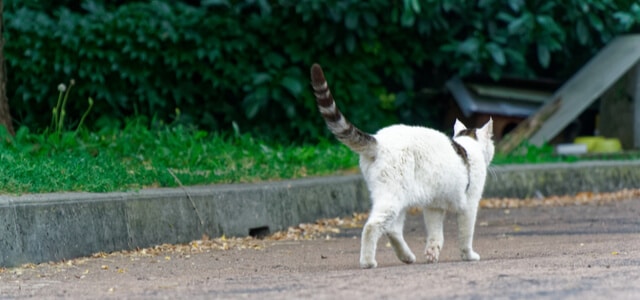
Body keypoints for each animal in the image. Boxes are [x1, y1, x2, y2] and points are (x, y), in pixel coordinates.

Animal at [310, 63, 496, 270]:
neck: (468, 146)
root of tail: (379, 140)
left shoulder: (434, 206)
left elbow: (435, 234)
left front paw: (432, 253)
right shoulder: (469, 205)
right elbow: (466, 235)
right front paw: (469, 256)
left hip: (398, 199)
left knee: (392, 230)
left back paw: (406, 256)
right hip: (394, 197)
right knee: (373, 226)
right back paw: (368, 262)